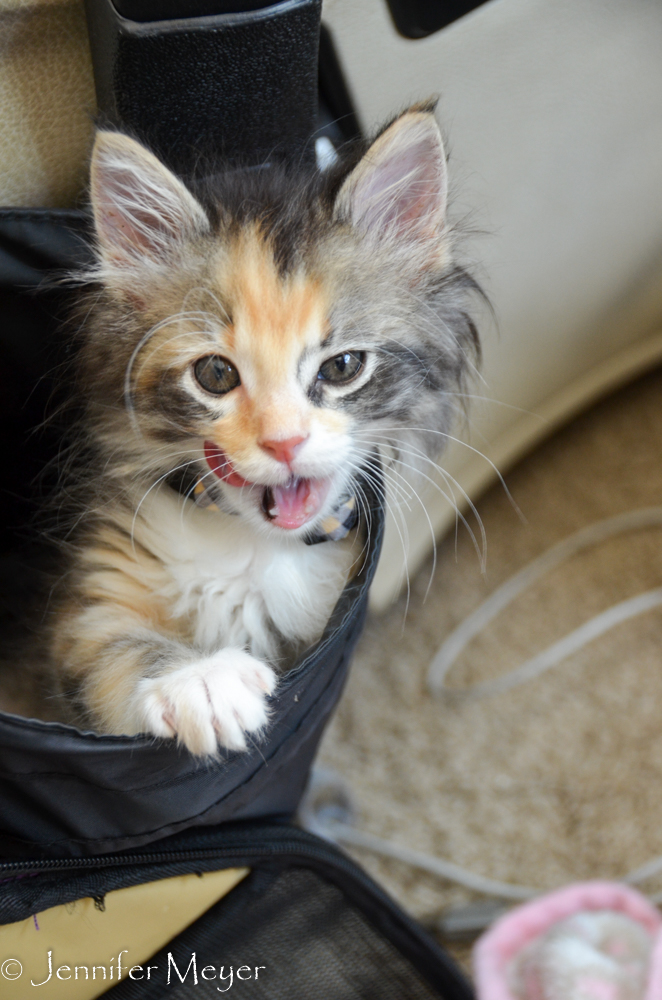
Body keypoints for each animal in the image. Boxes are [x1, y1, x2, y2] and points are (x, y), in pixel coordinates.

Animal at [37, 105, 478, 752]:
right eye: (216, 374)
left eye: (342, 367)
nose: (284, 442)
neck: (254, 547)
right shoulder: (92, 601)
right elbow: (115, 649)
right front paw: (201, 681)